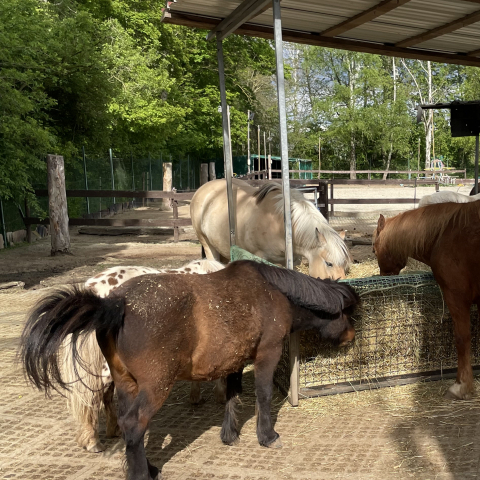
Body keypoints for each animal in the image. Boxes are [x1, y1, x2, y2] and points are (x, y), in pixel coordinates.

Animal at [21, 262, 360, 480]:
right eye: (346, 313)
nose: (351, 336)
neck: (271, 291)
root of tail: (115, 304)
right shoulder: (267, 353)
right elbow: (262, 396)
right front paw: (267, 436)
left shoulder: (234, 361)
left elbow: (232, 397)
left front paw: (229, 435)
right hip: (155, 386)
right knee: (133, 422)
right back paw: (141, 473)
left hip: (126, 384)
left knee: (130, 426)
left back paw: (145, 467)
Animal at [189, 178, 350, 280]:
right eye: (329, 263)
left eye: (344, 264)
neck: (281, 225)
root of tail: (202, 189)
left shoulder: (293, 261)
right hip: (207, 244)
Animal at [374, 202, 480, 402]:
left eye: (373, 250)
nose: (384, 279)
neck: (444, 233)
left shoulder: (456, 296)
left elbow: (462, 339)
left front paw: (461, 386)